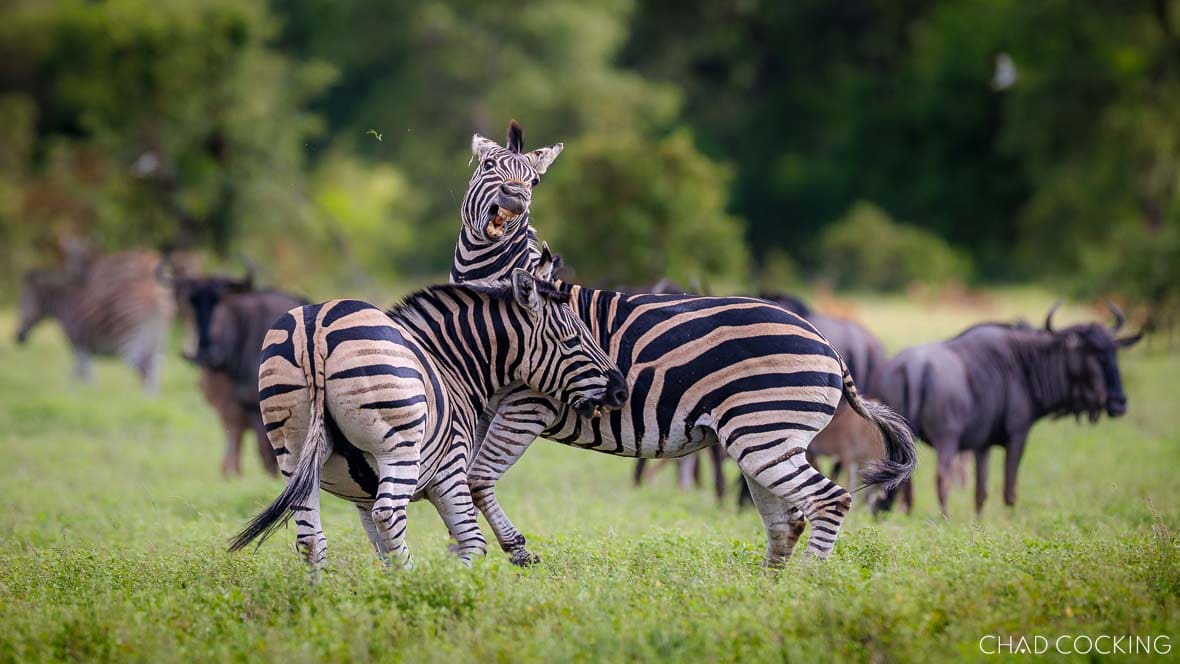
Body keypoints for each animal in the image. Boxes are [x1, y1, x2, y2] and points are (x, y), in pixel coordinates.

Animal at [16, 249, 177, 393]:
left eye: (22, 303)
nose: (18, 338)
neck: (65, 302)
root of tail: (156, 295)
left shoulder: (79, 345)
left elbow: (82, 376)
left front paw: (82, 397)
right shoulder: (84, 349)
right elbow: (81, 376)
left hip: (129, 342)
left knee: (144, 371)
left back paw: (139, 402)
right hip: (157, 342)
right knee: (153, 373)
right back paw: (150, 402)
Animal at [227, 268, 628, 574]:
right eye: (572, 340)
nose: (622, 391)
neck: (452, 367)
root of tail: (315, 328)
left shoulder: (360, 497)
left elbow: (384, 552)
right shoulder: (449, 469)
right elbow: (473, 543)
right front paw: (440, 588)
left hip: (292, 455)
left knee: (311, 539)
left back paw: (314, 600)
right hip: (399, 447)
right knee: (390, 514)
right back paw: (412, 578)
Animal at [452, 122, 917, 566]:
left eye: (533, 181)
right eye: (489, 167)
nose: (515, 200)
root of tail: (828, 345)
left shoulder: (529, 405)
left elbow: (476, 478)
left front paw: (512, 551)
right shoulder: (480, 407)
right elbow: (458, 475)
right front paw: (465, 555)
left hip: (763, 432)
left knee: (829, 501)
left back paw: (807, 579)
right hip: (769, 440)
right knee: (787, 520)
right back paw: (768, 588)